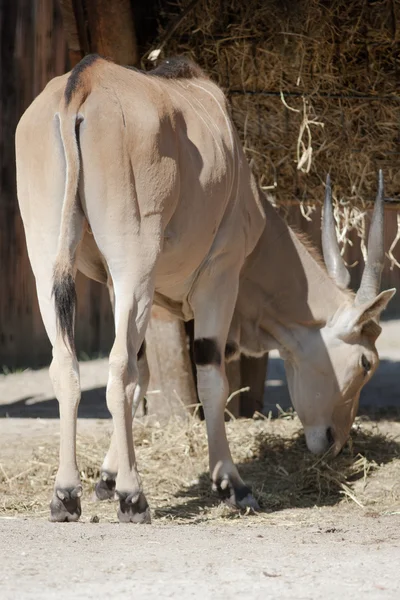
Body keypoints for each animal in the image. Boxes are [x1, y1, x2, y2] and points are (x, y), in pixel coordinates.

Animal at [14, 57, 394, 524]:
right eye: (365, 363)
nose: (334, 441)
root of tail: (82, 81)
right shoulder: (219, 278)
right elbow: (209, 379)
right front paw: (232, 484)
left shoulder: (116, 287)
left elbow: (143, 375)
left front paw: (106, 478)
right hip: (134, 266)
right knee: (119, 368)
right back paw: (134, 498)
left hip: (51, 264)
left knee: (68, 364)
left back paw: (66, 495)